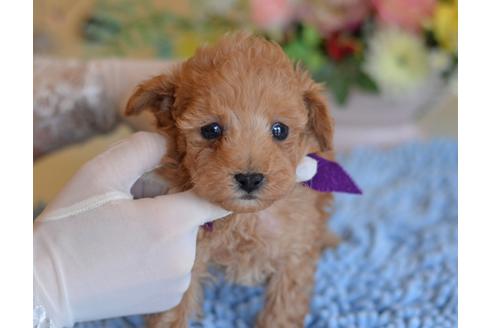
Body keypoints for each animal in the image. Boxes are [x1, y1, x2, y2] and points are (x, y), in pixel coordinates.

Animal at [125, 32, 338, 326]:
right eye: (211, 130)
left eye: (280, 130)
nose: (250, 178)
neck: (244, 219)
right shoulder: (185, 262)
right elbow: (171, 311)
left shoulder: (294, 253)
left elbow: (283, 309)